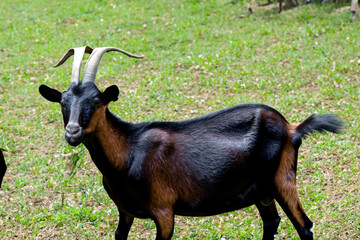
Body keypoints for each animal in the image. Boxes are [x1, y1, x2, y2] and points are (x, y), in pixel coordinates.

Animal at [38, 46, 344, 239]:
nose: (72, 132)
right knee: (271, 222)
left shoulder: (164, 212)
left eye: (97, 102)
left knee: (305, 227)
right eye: (63, 103)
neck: (129, 151)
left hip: (282, 178)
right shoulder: (124, 211)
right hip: (260, 191)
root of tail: (291, 128)